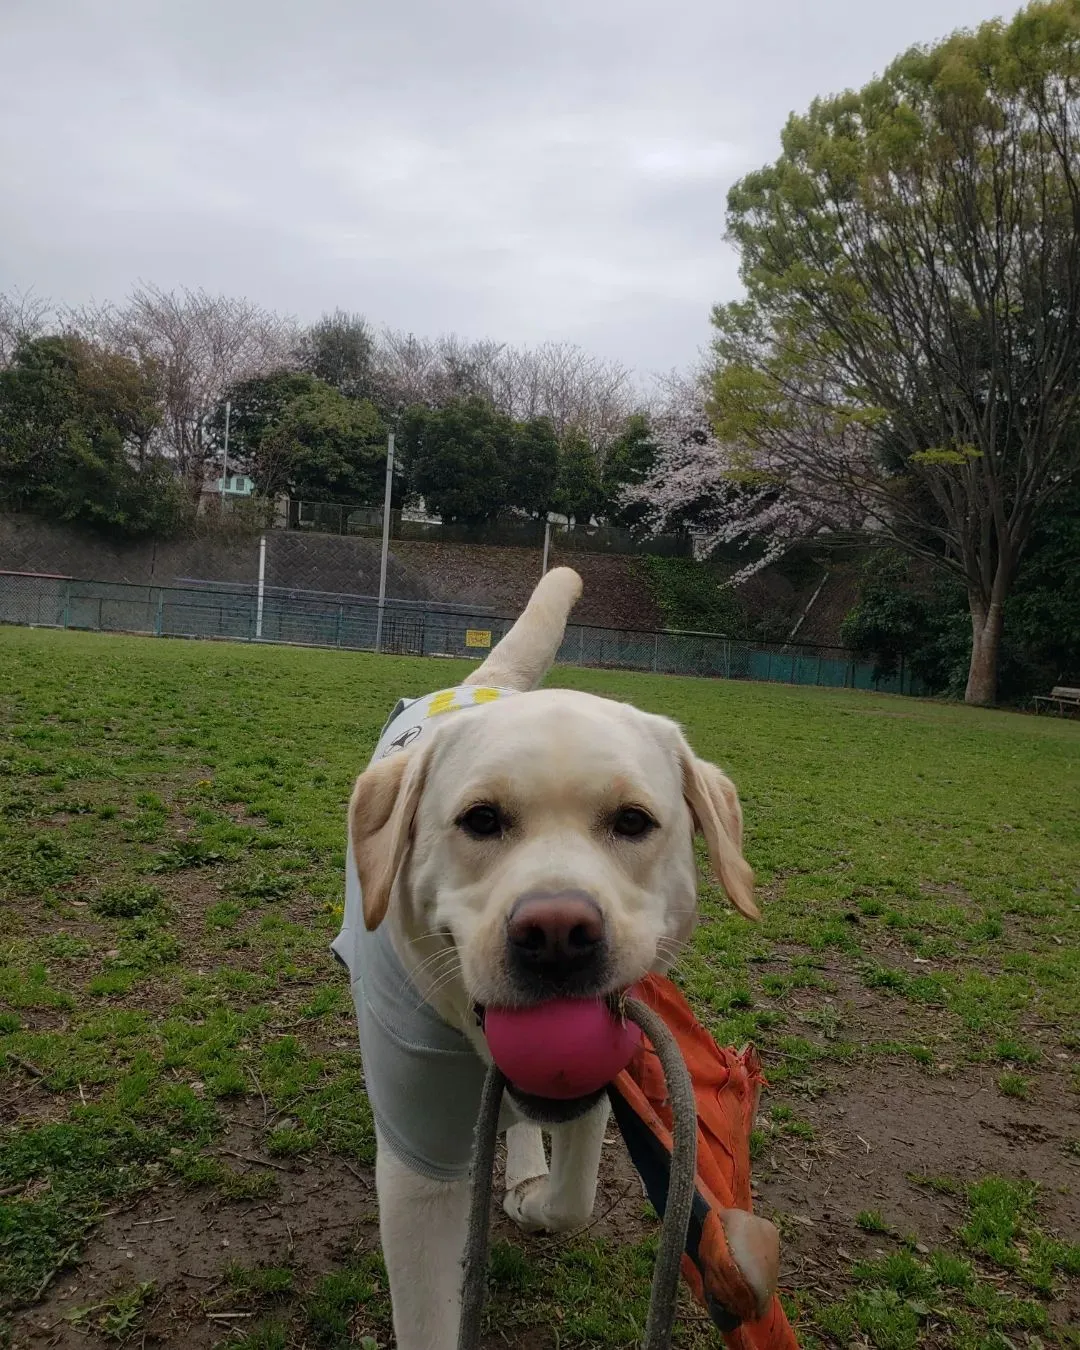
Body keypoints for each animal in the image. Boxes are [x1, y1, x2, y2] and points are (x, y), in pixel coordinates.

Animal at [333, 564, 756, 1344]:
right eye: (480, 820)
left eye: (633, 821)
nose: (557, 933)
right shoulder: (416, 1171)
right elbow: (429, 1315)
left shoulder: (600, 1077)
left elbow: (572, 1195)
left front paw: (532, 1198)